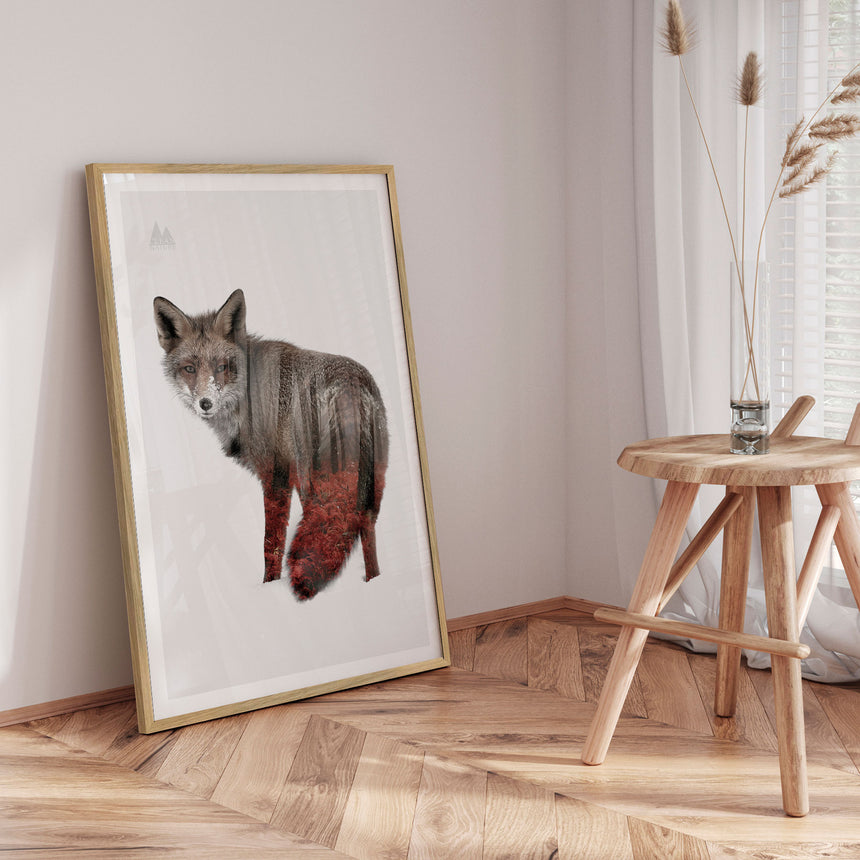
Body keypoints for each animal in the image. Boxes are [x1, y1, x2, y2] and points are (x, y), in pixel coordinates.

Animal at [153, 288, 389, 600]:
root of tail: (349, 383)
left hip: (315, 479)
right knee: (365, 528)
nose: (206, 403)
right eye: (189, 368)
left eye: (222, 367)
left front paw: (269, 587)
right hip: (369, 482)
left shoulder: (275, 474)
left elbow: (271, 543)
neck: (246, 396)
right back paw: (372, 583)